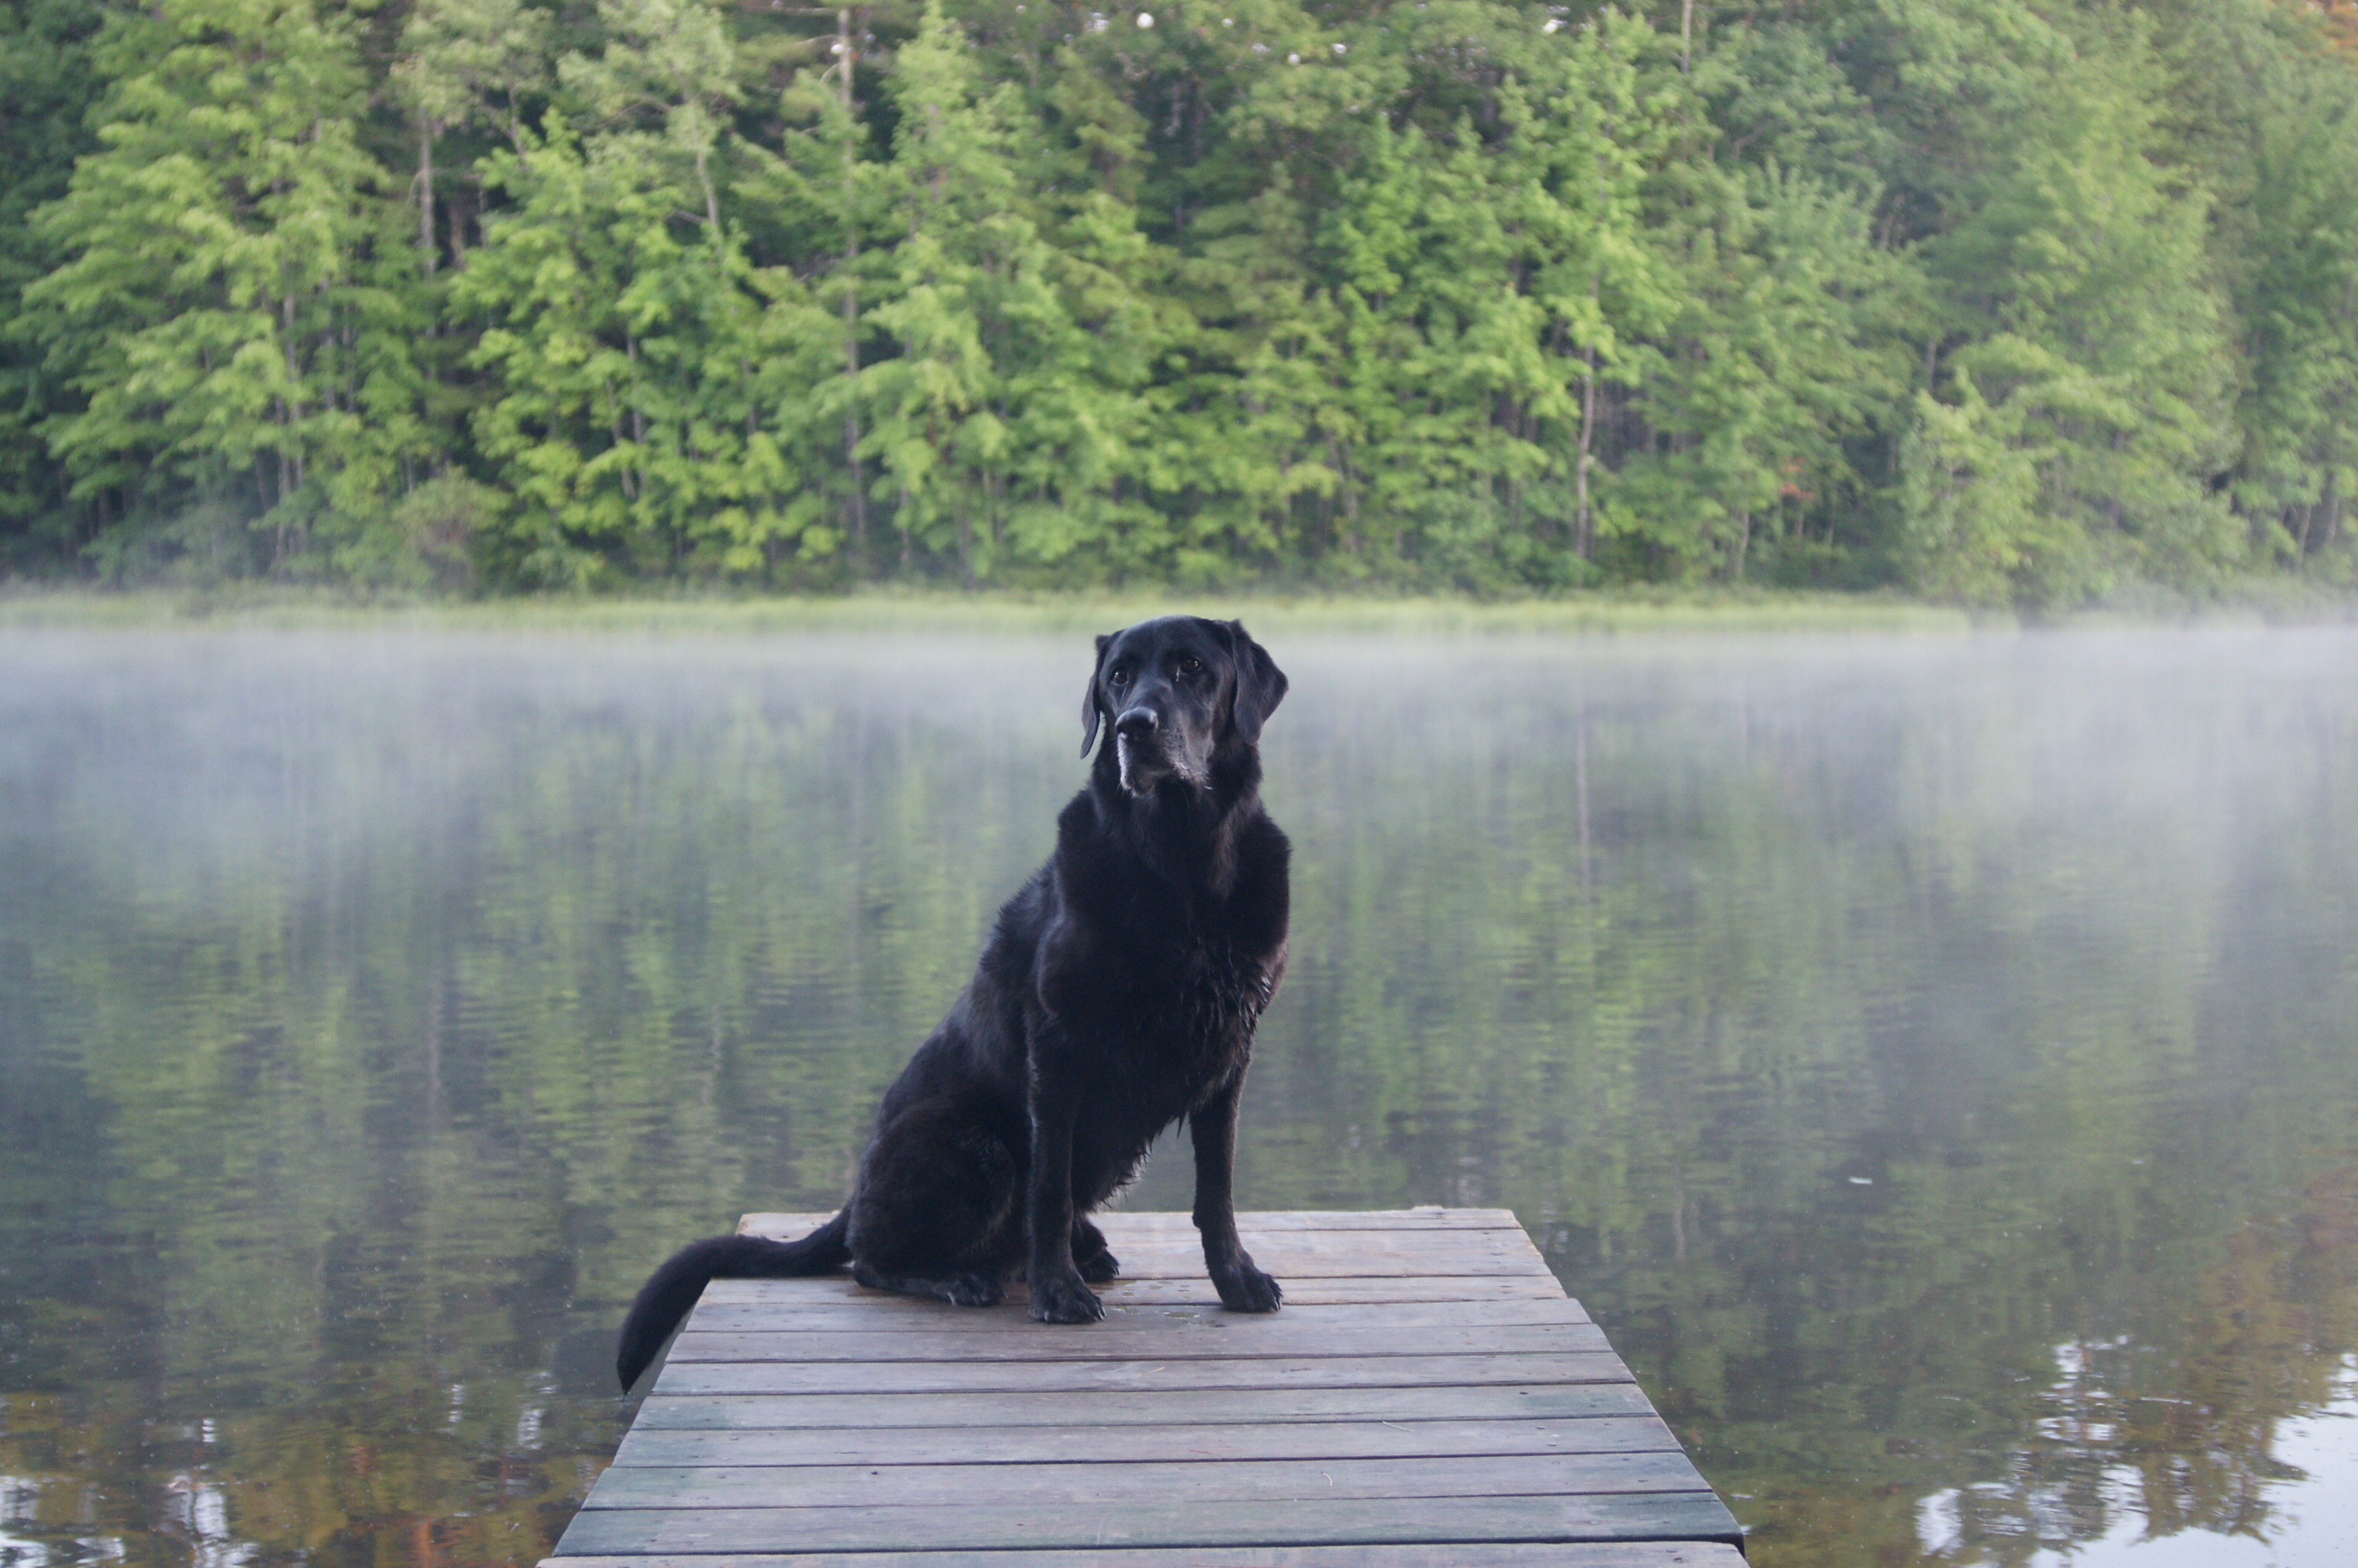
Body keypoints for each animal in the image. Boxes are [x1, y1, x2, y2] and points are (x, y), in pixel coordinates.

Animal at [613, 618, 1291, 1386]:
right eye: (1118, 677)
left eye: (1191, 669)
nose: (1135, 727)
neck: (1182, 867)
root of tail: (853, 1196)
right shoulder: (1058, 1049)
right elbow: (1049, 1190)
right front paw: (1057, 1292)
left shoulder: (1230, 1054)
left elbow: (1218, 1193)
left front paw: (1235, 1279)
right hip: (971, 1140)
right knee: (872, 1259)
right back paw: (960, 1277)